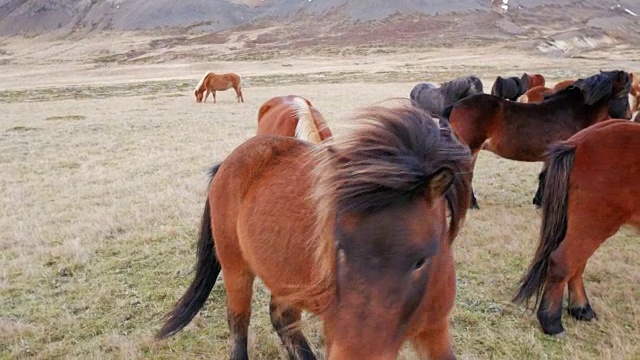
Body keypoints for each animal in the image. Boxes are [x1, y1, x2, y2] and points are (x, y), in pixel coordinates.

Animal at [157, 102, 472, 358]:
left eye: (421, 260)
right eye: (339, 248)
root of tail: (230, 161)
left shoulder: (435, 331)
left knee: (282, 318)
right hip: (236, 269)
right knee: (238, 323)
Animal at [444, 69, 636, 208]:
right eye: (623, 94)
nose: (628, 116)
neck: (570, 112)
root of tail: (457, 105)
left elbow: (543, 176)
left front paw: (538, 201)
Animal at [512, 119, 640, 336]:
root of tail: (577, 144)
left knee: (577, 264)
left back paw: (581, 308)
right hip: (596, 222)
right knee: (563, 261)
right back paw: (552, 322)